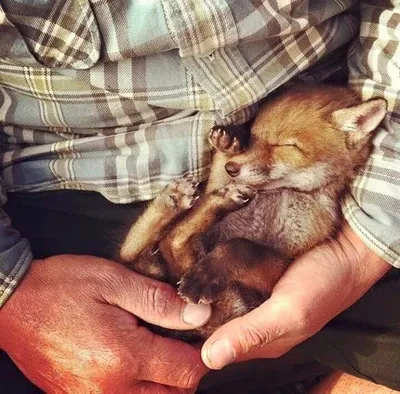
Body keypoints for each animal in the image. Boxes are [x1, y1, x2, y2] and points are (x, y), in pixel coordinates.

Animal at [117, 84, 386, 340]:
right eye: (254, 138)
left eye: (284, 145)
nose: (233, 167)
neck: (281, 195)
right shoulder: (217, 196)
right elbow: (216, 179)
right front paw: (226, 149)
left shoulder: (281, 265)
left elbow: (242, 247)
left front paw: (205, 275)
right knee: (137, 250)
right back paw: (175, 201)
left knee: (169, 243)